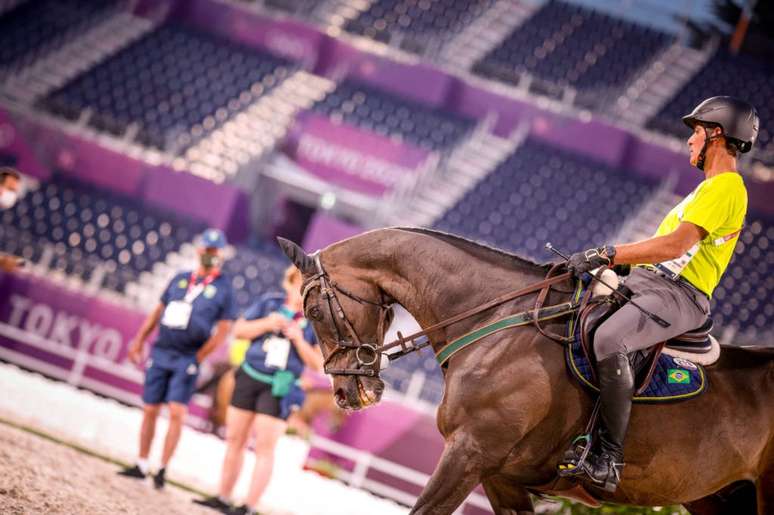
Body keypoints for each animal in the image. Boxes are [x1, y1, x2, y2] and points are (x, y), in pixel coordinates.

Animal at [278, 228, 774, 512]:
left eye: (314, 310)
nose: (349, 395)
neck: (497, 321)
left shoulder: (469, 453)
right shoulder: (500, 477)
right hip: (718, 499)